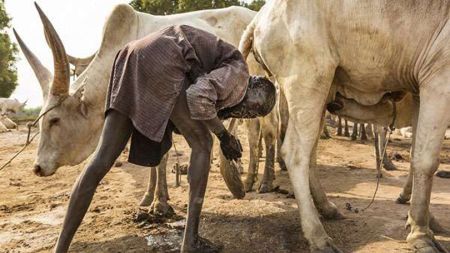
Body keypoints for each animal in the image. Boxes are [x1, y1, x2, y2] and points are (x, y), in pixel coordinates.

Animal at [241, 0, 450, 252]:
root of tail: (258, 18)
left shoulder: (420, 88)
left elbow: (415, 155)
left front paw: (424, 222)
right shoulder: (439, 77)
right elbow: (426, 161)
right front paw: (421, 234)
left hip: (322, 89)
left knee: (310, 151)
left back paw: (327, 209)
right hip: (307, 78)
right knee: (295, 152)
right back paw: (318, 236)